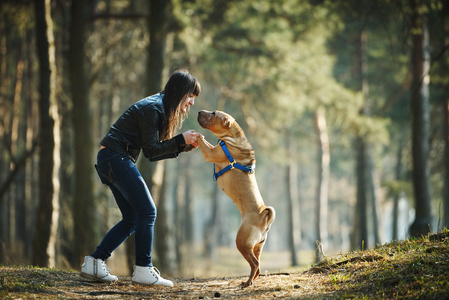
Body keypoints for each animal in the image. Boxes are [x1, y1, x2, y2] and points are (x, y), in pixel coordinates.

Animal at [197, 109, 276, 286]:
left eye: (213, 113)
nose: (199, 111)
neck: (232, 137)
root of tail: (264, 218)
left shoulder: (211, 153)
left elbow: (202, 142)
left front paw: (194, 136)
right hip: (257, 246)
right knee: (258, 265)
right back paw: (250, 281)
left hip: (242, 243)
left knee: (255, 264)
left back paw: (247, 282)